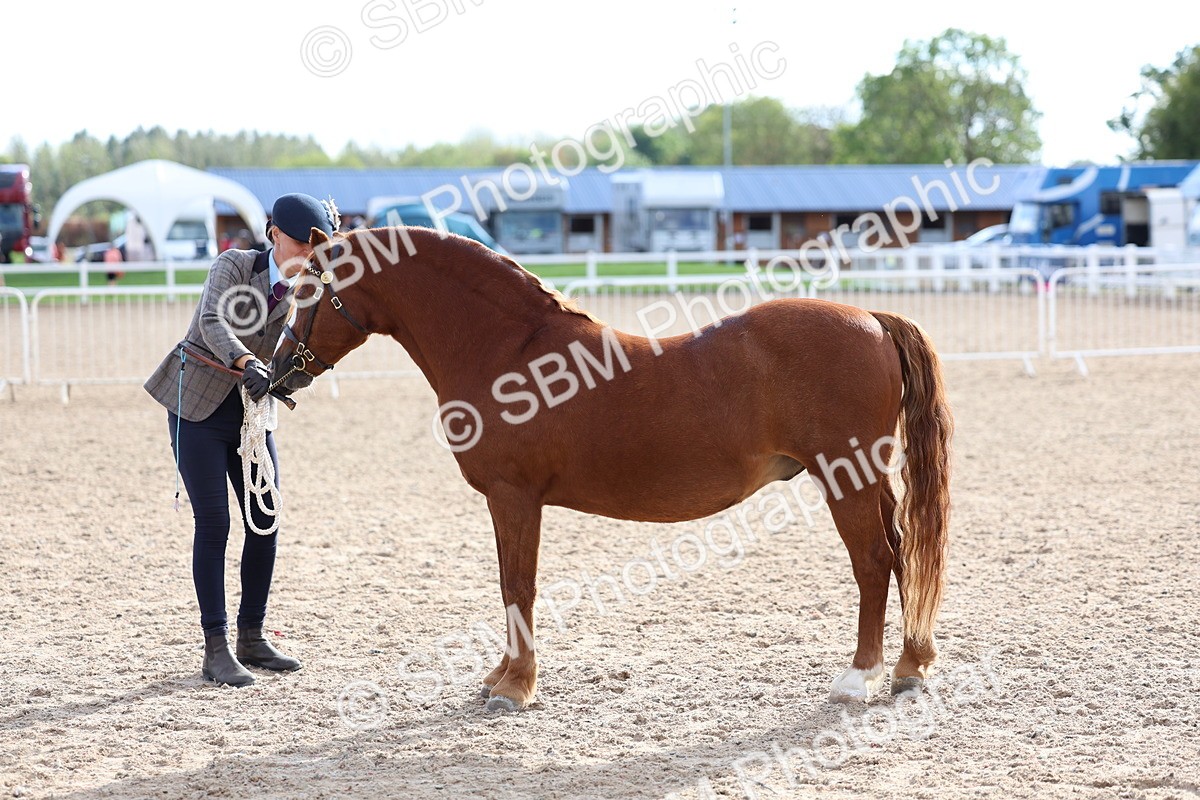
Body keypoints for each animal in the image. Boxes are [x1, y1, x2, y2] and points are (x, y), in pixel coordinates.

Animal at [269, 226, 953, 712]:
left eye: (306, 290)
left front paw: (515, 687)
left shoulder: (514, 496)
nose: (275, 372)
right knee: (901, 552)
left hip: (847, 477)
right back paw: (909, 669)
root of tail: (871, 320)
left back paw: (859, 678)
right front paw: (500, 675)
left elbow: (519, 585)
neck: (508, 350)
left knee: (874, 561)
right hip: (868, 480)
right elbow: (507, 584)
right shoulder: (505, 500)